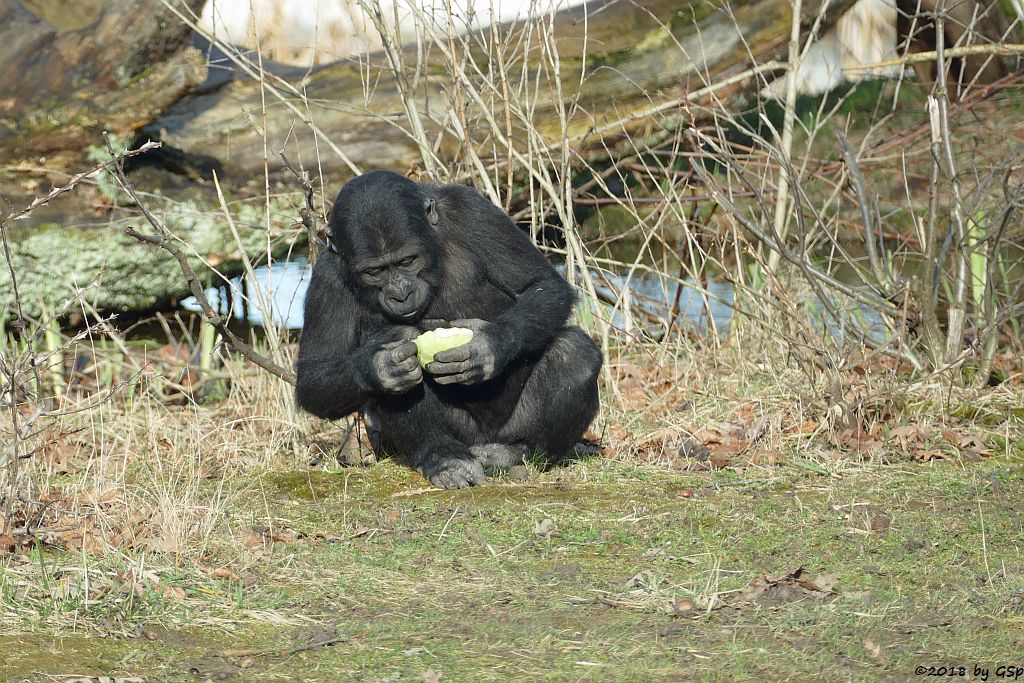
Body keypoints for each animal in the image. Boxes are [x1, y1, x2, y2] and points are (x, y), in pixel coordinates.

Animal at [296, 171, 598, 491]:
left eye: (407, 261)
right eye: (374, 272)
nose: (400, 293)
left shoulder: (471, 211)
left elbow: (540, 285)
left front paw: (486, 346)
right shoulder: (327, 276)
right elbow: (315, 377)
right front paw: (380, 366)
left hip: (513, 426)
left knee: (574, 352)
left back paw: (517, 453)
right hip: (458, 435)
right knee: (398, 355)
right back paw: (444, 457)